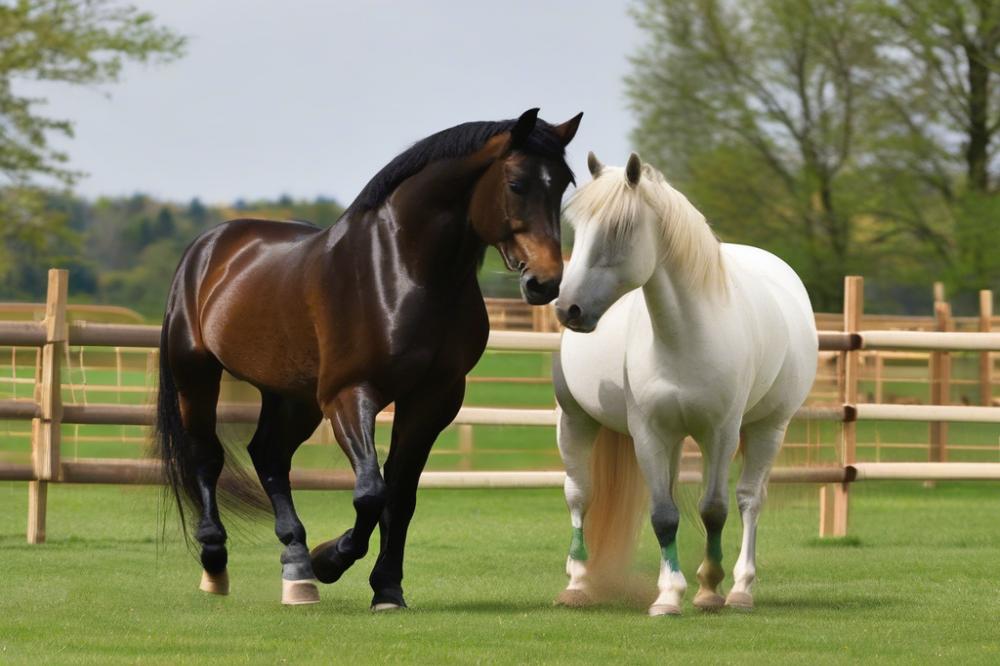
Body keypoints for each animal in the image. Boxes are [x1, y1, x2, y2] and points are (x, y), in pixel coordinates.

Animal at [152, 107, 584, 608]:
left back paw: (296, 567)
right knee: (207, 457)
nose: (545, 281)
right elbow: (370, 493)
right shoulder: (350, 394)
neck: (402, 273)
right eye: (516, 183)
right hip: (196, 374)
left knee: (269, 456)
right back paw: (217, 563)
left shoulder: (432, 399)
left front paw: (387, 588)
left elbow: (401, 495)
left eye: (564, 184)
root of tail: (210, 246)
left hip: (292, 395)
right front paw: (331, 560)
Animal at [552, 150, 816, 612]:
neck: (686, 336)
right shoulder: (650, 433)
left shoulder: (721, 432)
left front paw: (709, 589)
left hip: (767, 428)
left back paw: (741, 588)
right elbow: (664, 514)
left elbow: (714, 509)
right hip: (577, 421)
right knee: (581, 494)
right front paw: (668, 596)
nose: (569, 309)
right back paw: (579, 583)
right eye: (576, 228)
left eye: (620, 229)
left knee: (750, 500)